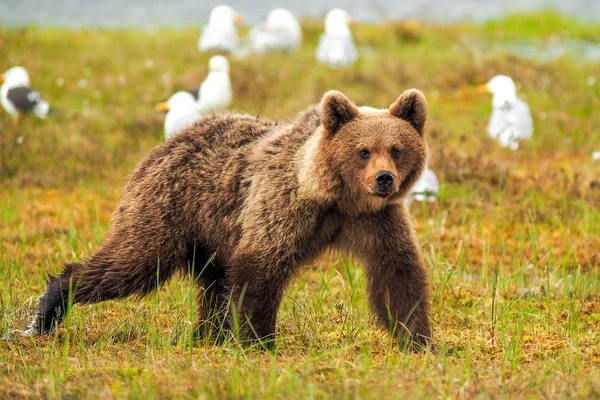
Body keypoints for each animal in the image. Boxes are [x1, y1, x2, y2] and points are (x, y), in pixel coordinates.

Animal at [25, 90, 434, 350]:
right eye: (363, 150)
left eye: (396, 149)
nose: (384, 179)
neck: (336, 197)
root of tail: (163, 144)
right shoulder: (282, 208)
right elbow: (260, 269)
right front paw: (259, 341)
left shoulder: (376, 220)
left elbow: (397, 272)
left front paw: (418, 340)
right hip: (168, 207)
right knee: (133, 262)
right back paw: (50, 305)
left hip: (211, 235)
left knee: (212, 285)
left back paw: (207, 335)